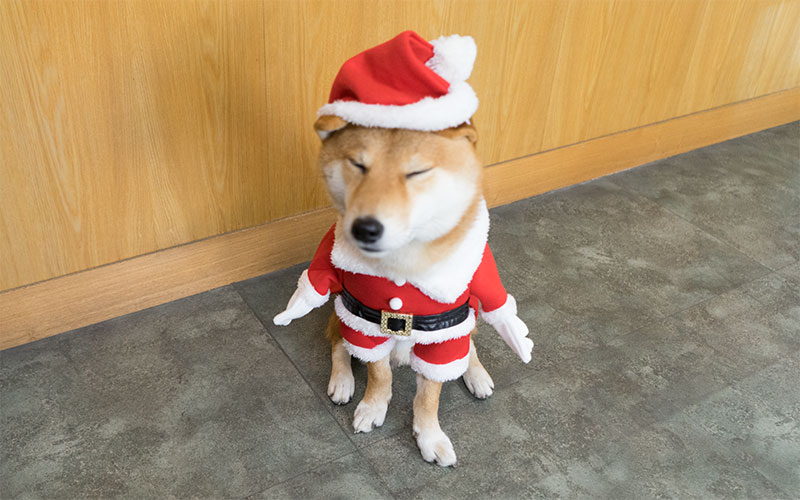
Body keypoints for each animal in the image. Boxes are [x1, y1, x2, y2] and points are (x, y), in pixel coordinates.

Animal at [274, 33, 532, 466]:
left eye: (416, 172)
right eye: (358, 165)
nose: (365, 227)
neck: (403, 264)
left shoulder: (445, 331)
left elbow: (429, 396)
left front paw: (429, 435)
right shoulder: (364, 321)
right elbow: (379, 374)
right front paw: (373, 406)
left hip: (466, 318)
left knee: (473, 341)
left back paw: (476, 373)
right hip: (339, 310)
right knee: (338, 345)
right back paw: (342, 381)